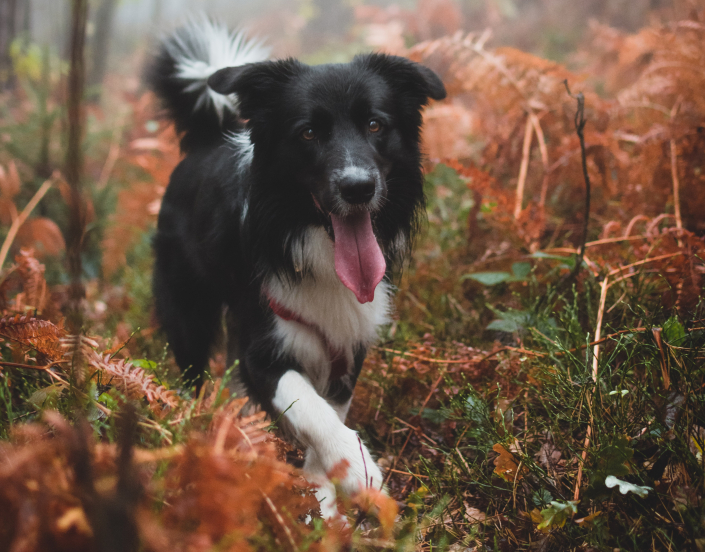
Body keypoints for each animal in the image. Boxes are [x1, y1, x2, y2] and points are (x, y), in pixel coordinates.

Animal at [147, 18, 446, 516]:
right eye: (308, 133)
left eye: (375, 124)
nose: (358, 188)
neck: (314, 245)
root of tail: (207, 140)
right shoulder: (263, 347)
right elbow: (309, 405)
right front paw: (357, 467)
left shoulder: (349, 340)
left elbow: (330, 408)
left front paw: (322, 494)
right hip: (188, 309)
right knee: (193, 371)